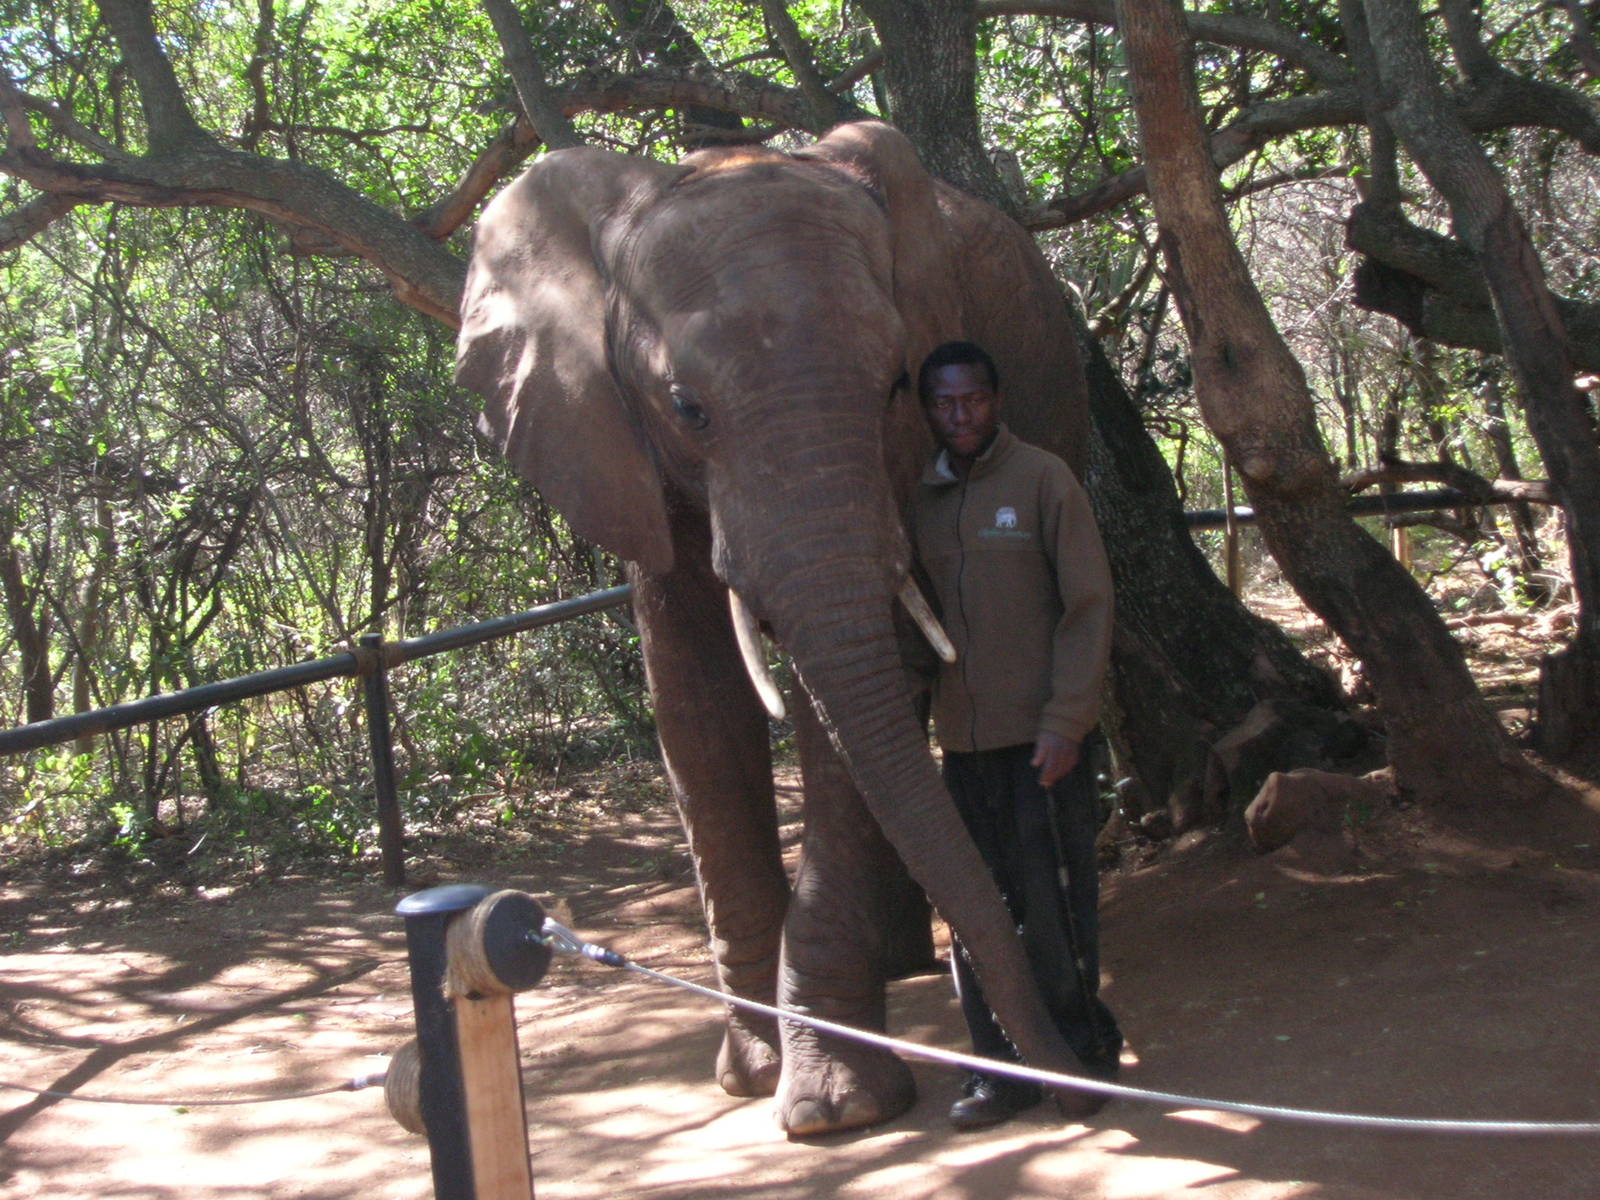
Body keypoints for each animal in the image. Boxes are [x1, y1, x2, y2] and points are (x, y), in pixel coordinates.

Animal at [456, 120, 1094, 1136]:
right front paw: (752, 1076)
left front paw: (836, 1108)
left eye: (897, 385)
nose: (1076, 1089)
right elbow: (694, 704)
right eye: (687, 407)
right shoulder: (623, 449)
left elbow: (861, 696)